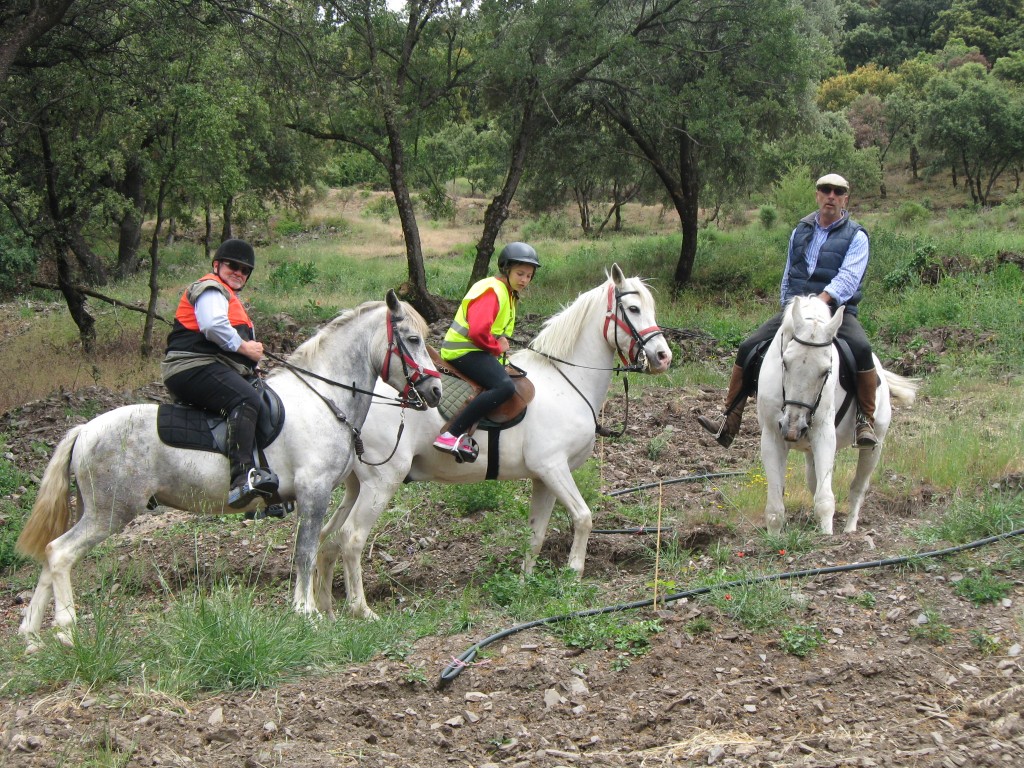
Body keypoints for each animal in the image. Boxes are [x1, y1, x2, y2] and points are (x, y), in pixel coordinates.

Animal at [16, 290, 440, 651]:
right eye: (412, 339)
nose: (435, 392)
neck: (324, 399)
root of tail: (84, 430)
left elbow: (311, 549)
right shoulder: (314, 493)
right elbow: (304, 552)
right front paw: (306, 614)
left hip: (97, 512)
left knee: (49, 557)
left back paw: (32, 635)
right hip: (110, 512)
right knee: (59, 553)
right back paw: (66, 629)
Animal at [315, 264, 675, 618]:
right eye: (633, 309)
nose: (663, 357)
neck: (566, 381)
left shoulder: (544, 477)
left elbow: (535, 534)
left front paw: (525, 582)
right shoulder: (554, 467)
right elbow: (583, 517)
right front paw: (574, 573)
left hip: (356, 485)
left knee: (326, 538)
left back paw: (326, 610)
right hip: (381, 482)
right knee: (351, 538)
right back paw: (361, 611)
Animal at [757, 296, 917, 536]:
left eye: (826, 371)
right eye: (785, 362)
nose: (794, 428)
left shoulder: (824, 436)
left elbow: (825, 501)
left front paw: (827, 538)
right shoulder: (772, 438)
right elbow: (775, 508)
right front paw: (774, 540)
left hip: (874, 446)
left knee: (858, 487)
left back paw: (850, 531)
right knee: (815, 484)